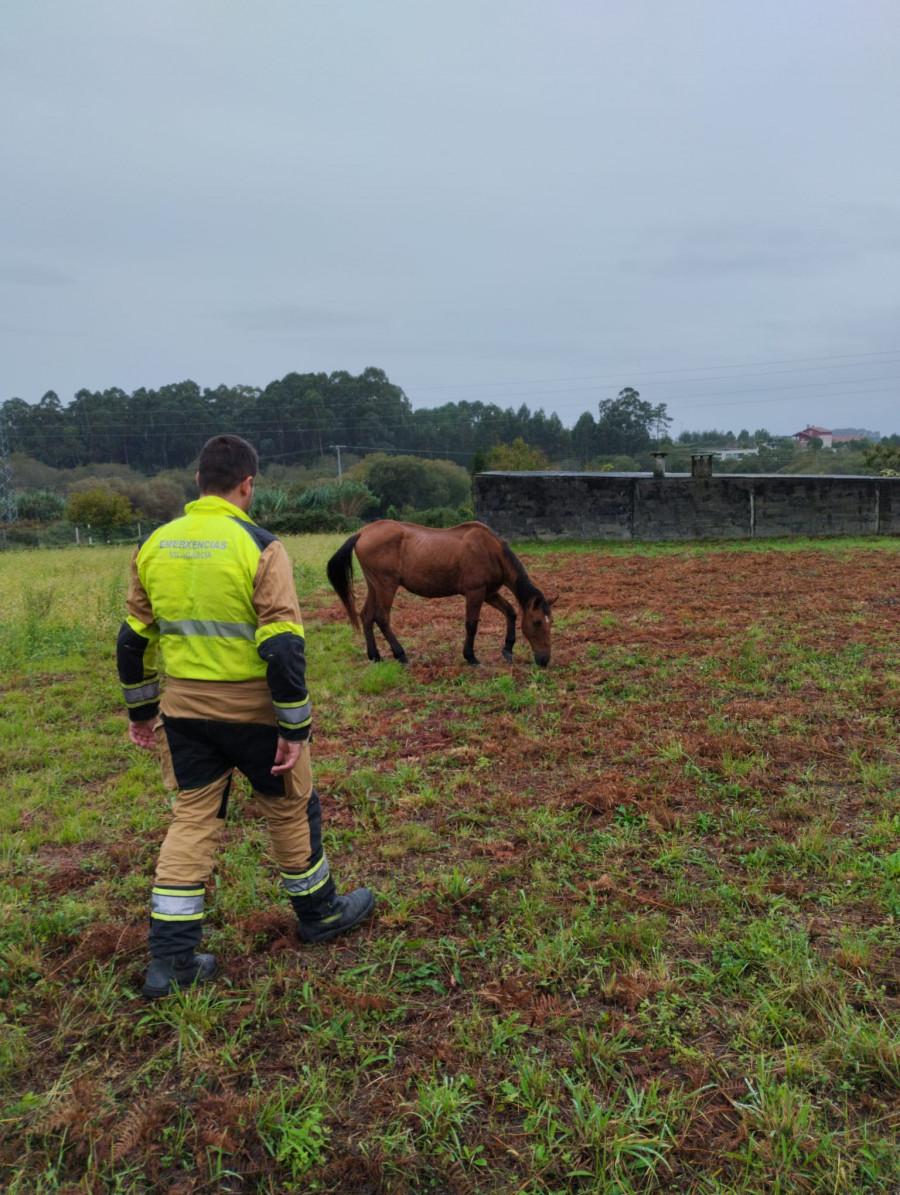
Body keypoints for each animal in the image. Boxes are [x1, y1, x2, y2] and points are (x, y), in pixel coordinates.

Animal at [327, 518, 559, 669]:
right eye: (537, 622)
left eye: (551, 622)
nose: (545, 660)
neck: (491, 551)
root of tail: (362, 532)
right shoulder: (475, 593)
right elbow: (471, 625)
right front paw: (471, 657)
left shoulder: (489, 593)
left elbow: (510, 612)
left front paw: (508, 649)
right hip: (386, 585)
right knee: (381, 618)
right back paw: (400, 655)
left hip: (374, 585)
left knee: (366, 616)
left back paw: (375, 656)